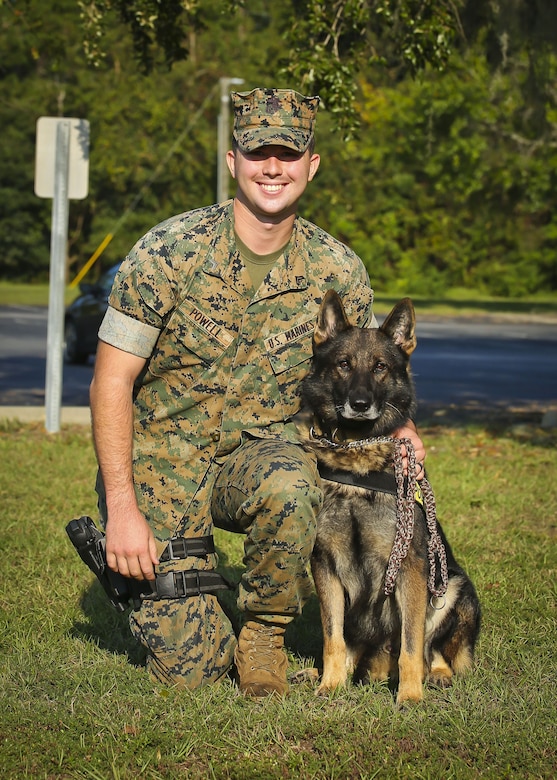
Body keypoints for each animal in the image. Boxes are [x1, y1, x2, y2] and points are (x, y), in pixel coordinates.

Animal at [298, 292, 480, 708]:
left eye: (380, 367)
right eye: (344, 364)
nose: (360, 403)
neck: (357, 462)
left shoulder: (411, 570)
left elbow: (411, 645)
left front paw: (410, 696)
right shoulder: (325, 569)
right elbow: (333, 638)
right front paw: (330, 684)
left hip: (452, 589)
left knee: (433, 650)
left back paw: (436, 676)